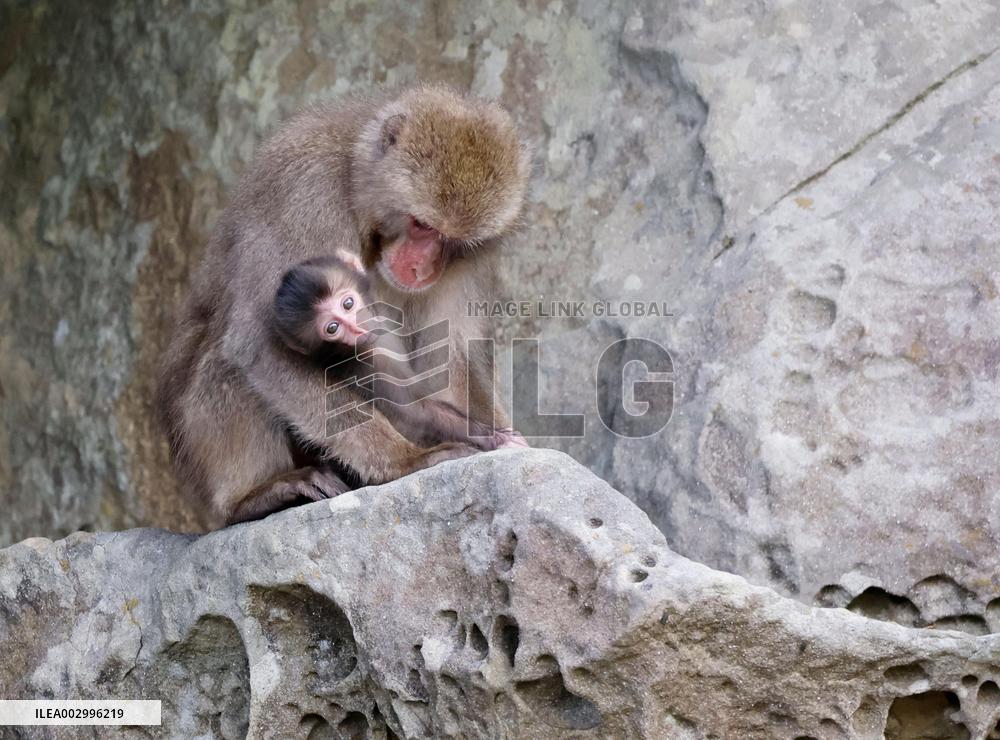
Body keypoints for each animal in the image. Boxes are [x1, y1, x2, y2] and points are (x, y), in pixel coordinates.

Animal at [157, 83, 531, 529]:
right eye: (422, 224)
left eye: (454, 241)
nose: (421, 267)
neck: (357, 183)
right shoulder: (308, 198)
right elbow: (261, 345)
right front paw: (405, 460)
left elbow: (448, 355)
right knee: (225, 363)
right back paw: (248, 498)